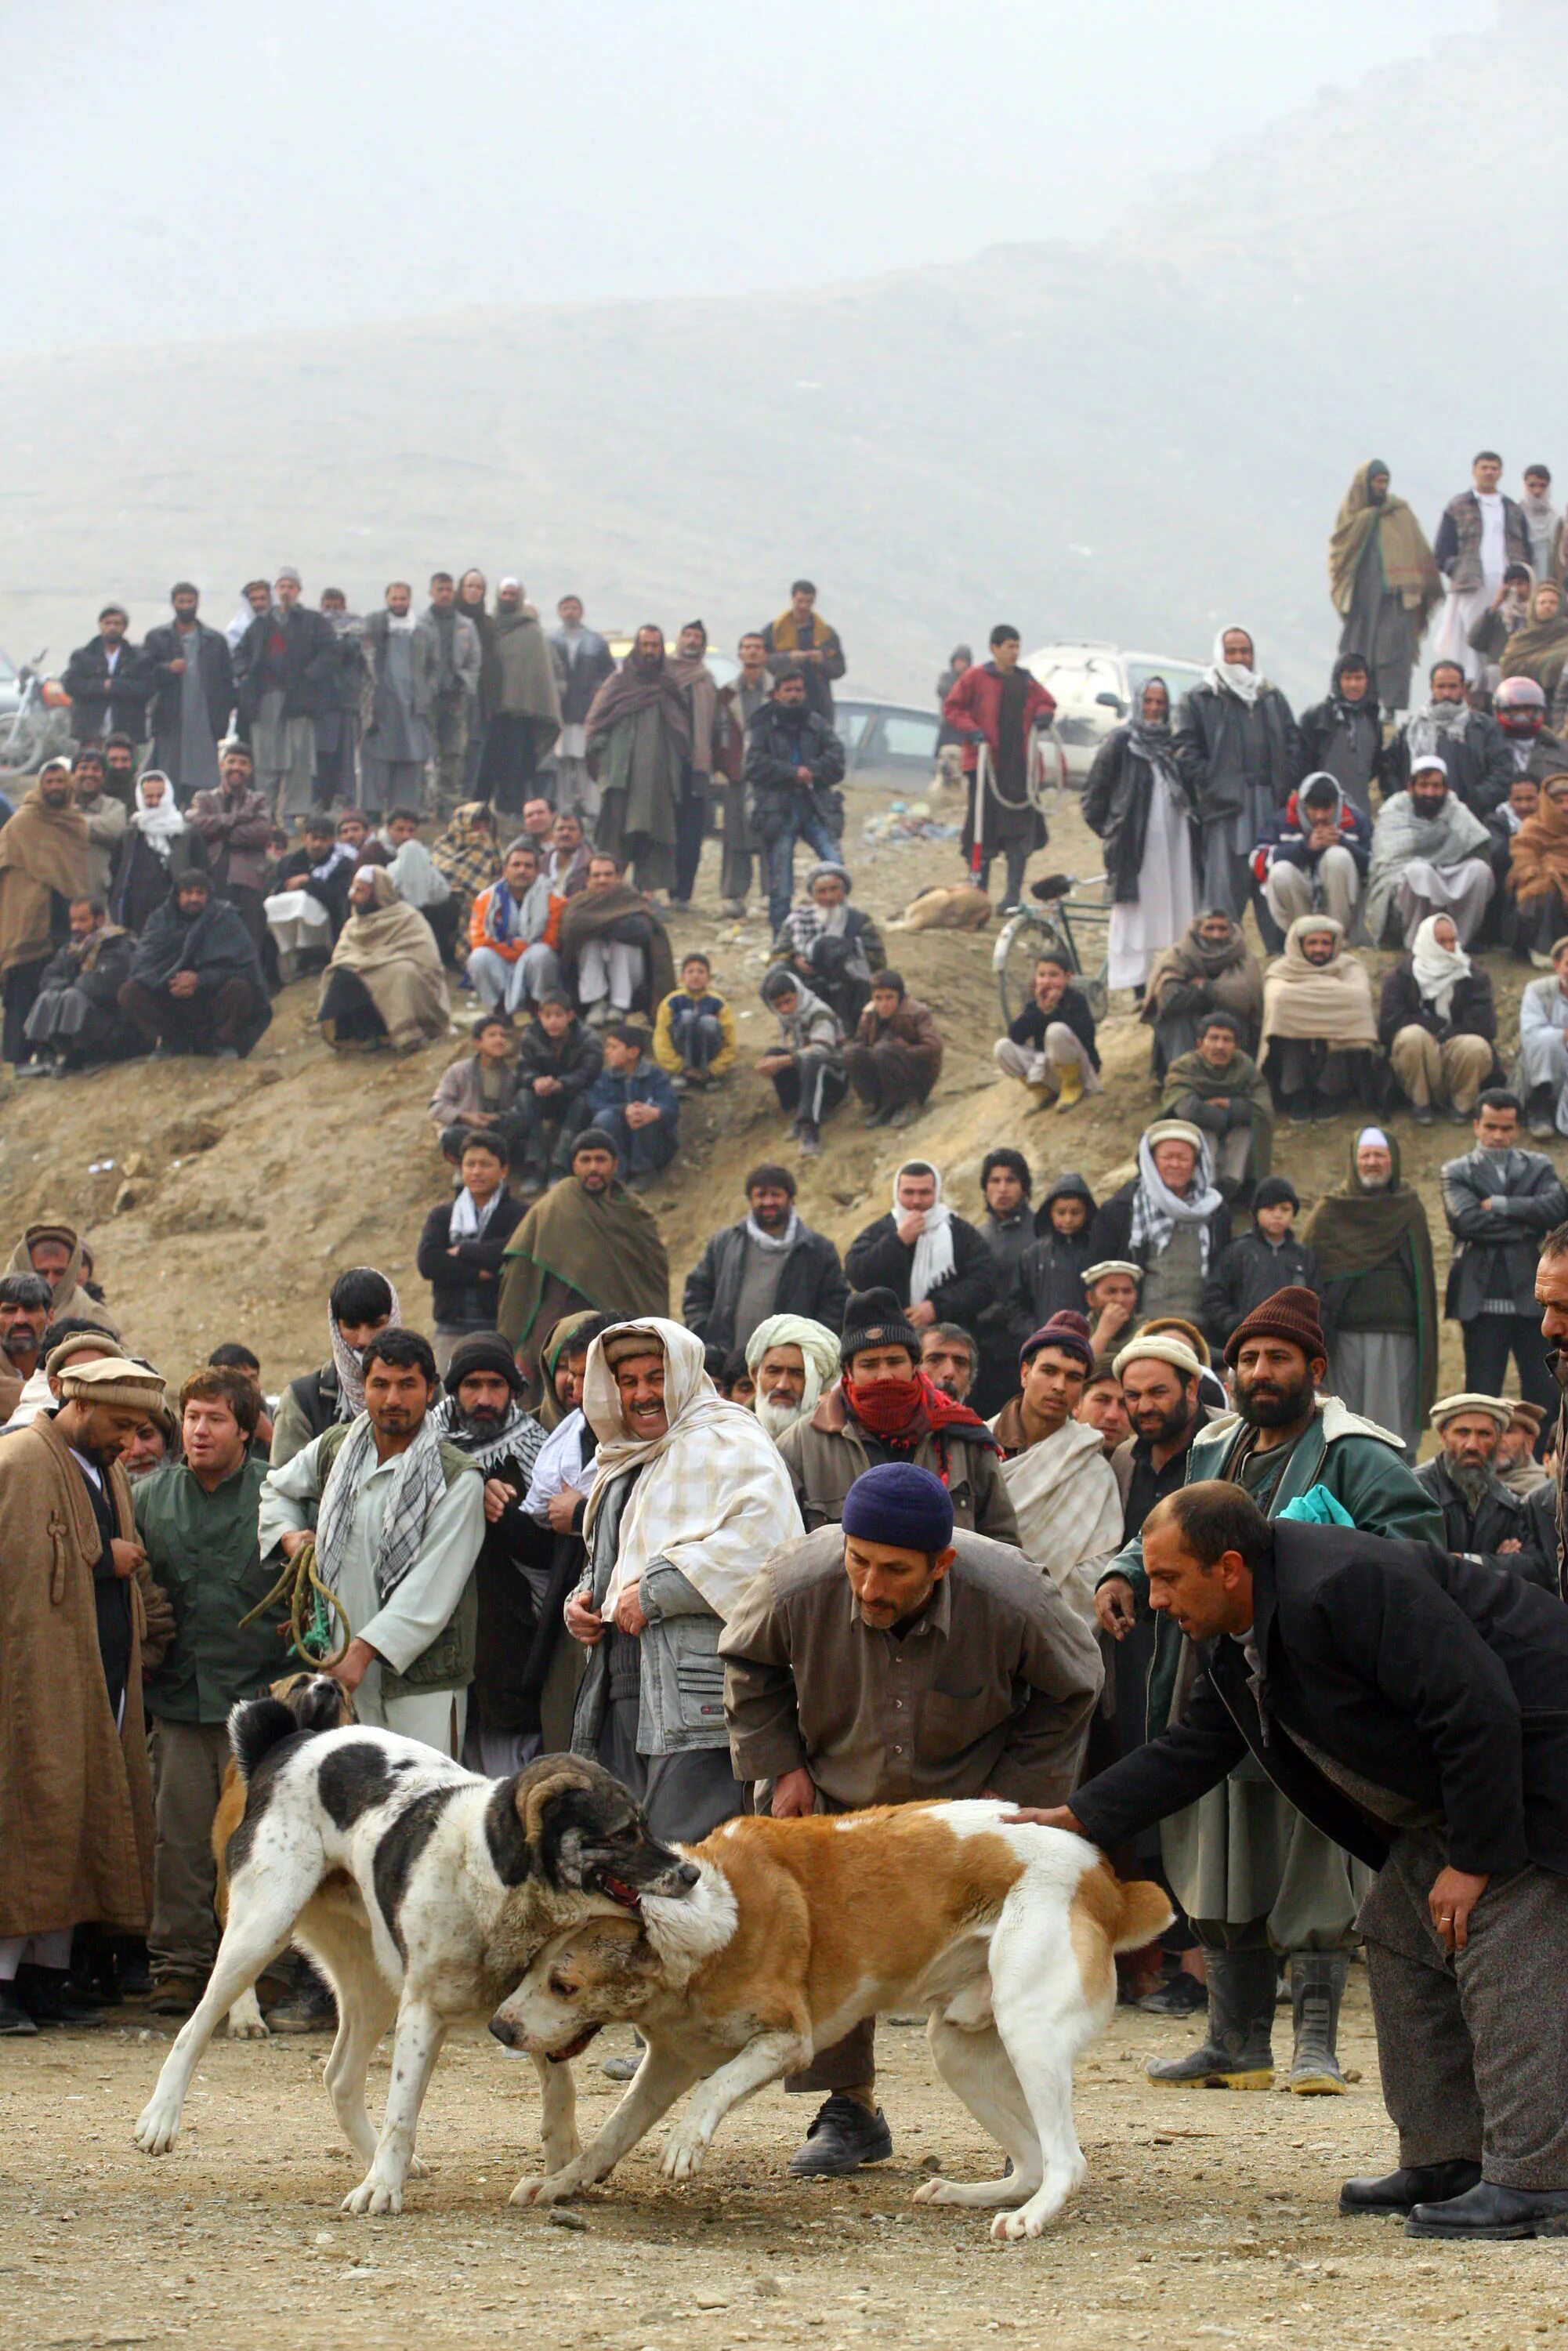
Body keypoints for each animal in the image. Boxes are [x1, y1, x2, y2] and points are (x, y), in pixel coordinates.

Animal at [135, 1683, 701, 2210]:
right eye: (624, 1832)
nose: (693, 1872)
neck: (494, 1881)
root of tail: (289, 1742)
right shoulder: (424, 2012)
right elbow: (402, 2110)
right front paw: (382, 2189)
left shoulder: (532, 2006)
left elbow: (560, 2087)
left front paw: (562, 2160)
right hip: (260, 1931)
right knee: (194, 2028)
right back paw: (160, 2118)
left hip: (374, 1984)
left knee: (339, 2078)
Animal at [496, 1796, 1171, 2238]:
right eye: (531, 1966)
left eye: (564, 1985)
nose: (500, 2028)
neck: (706, 1928)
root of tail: (1109, 1883)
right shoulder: (667, 2059)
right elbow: (613, 2132)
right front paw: (563, 2182)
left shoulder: (784, 2043)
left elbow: (714, 2088)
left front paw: (686, 2143)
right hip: (958, 2048)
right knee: (1031, 2160)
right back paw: (968, 2195)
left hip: (1027, 2031)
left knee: (1065, 2161)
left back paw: (1029, 2217)